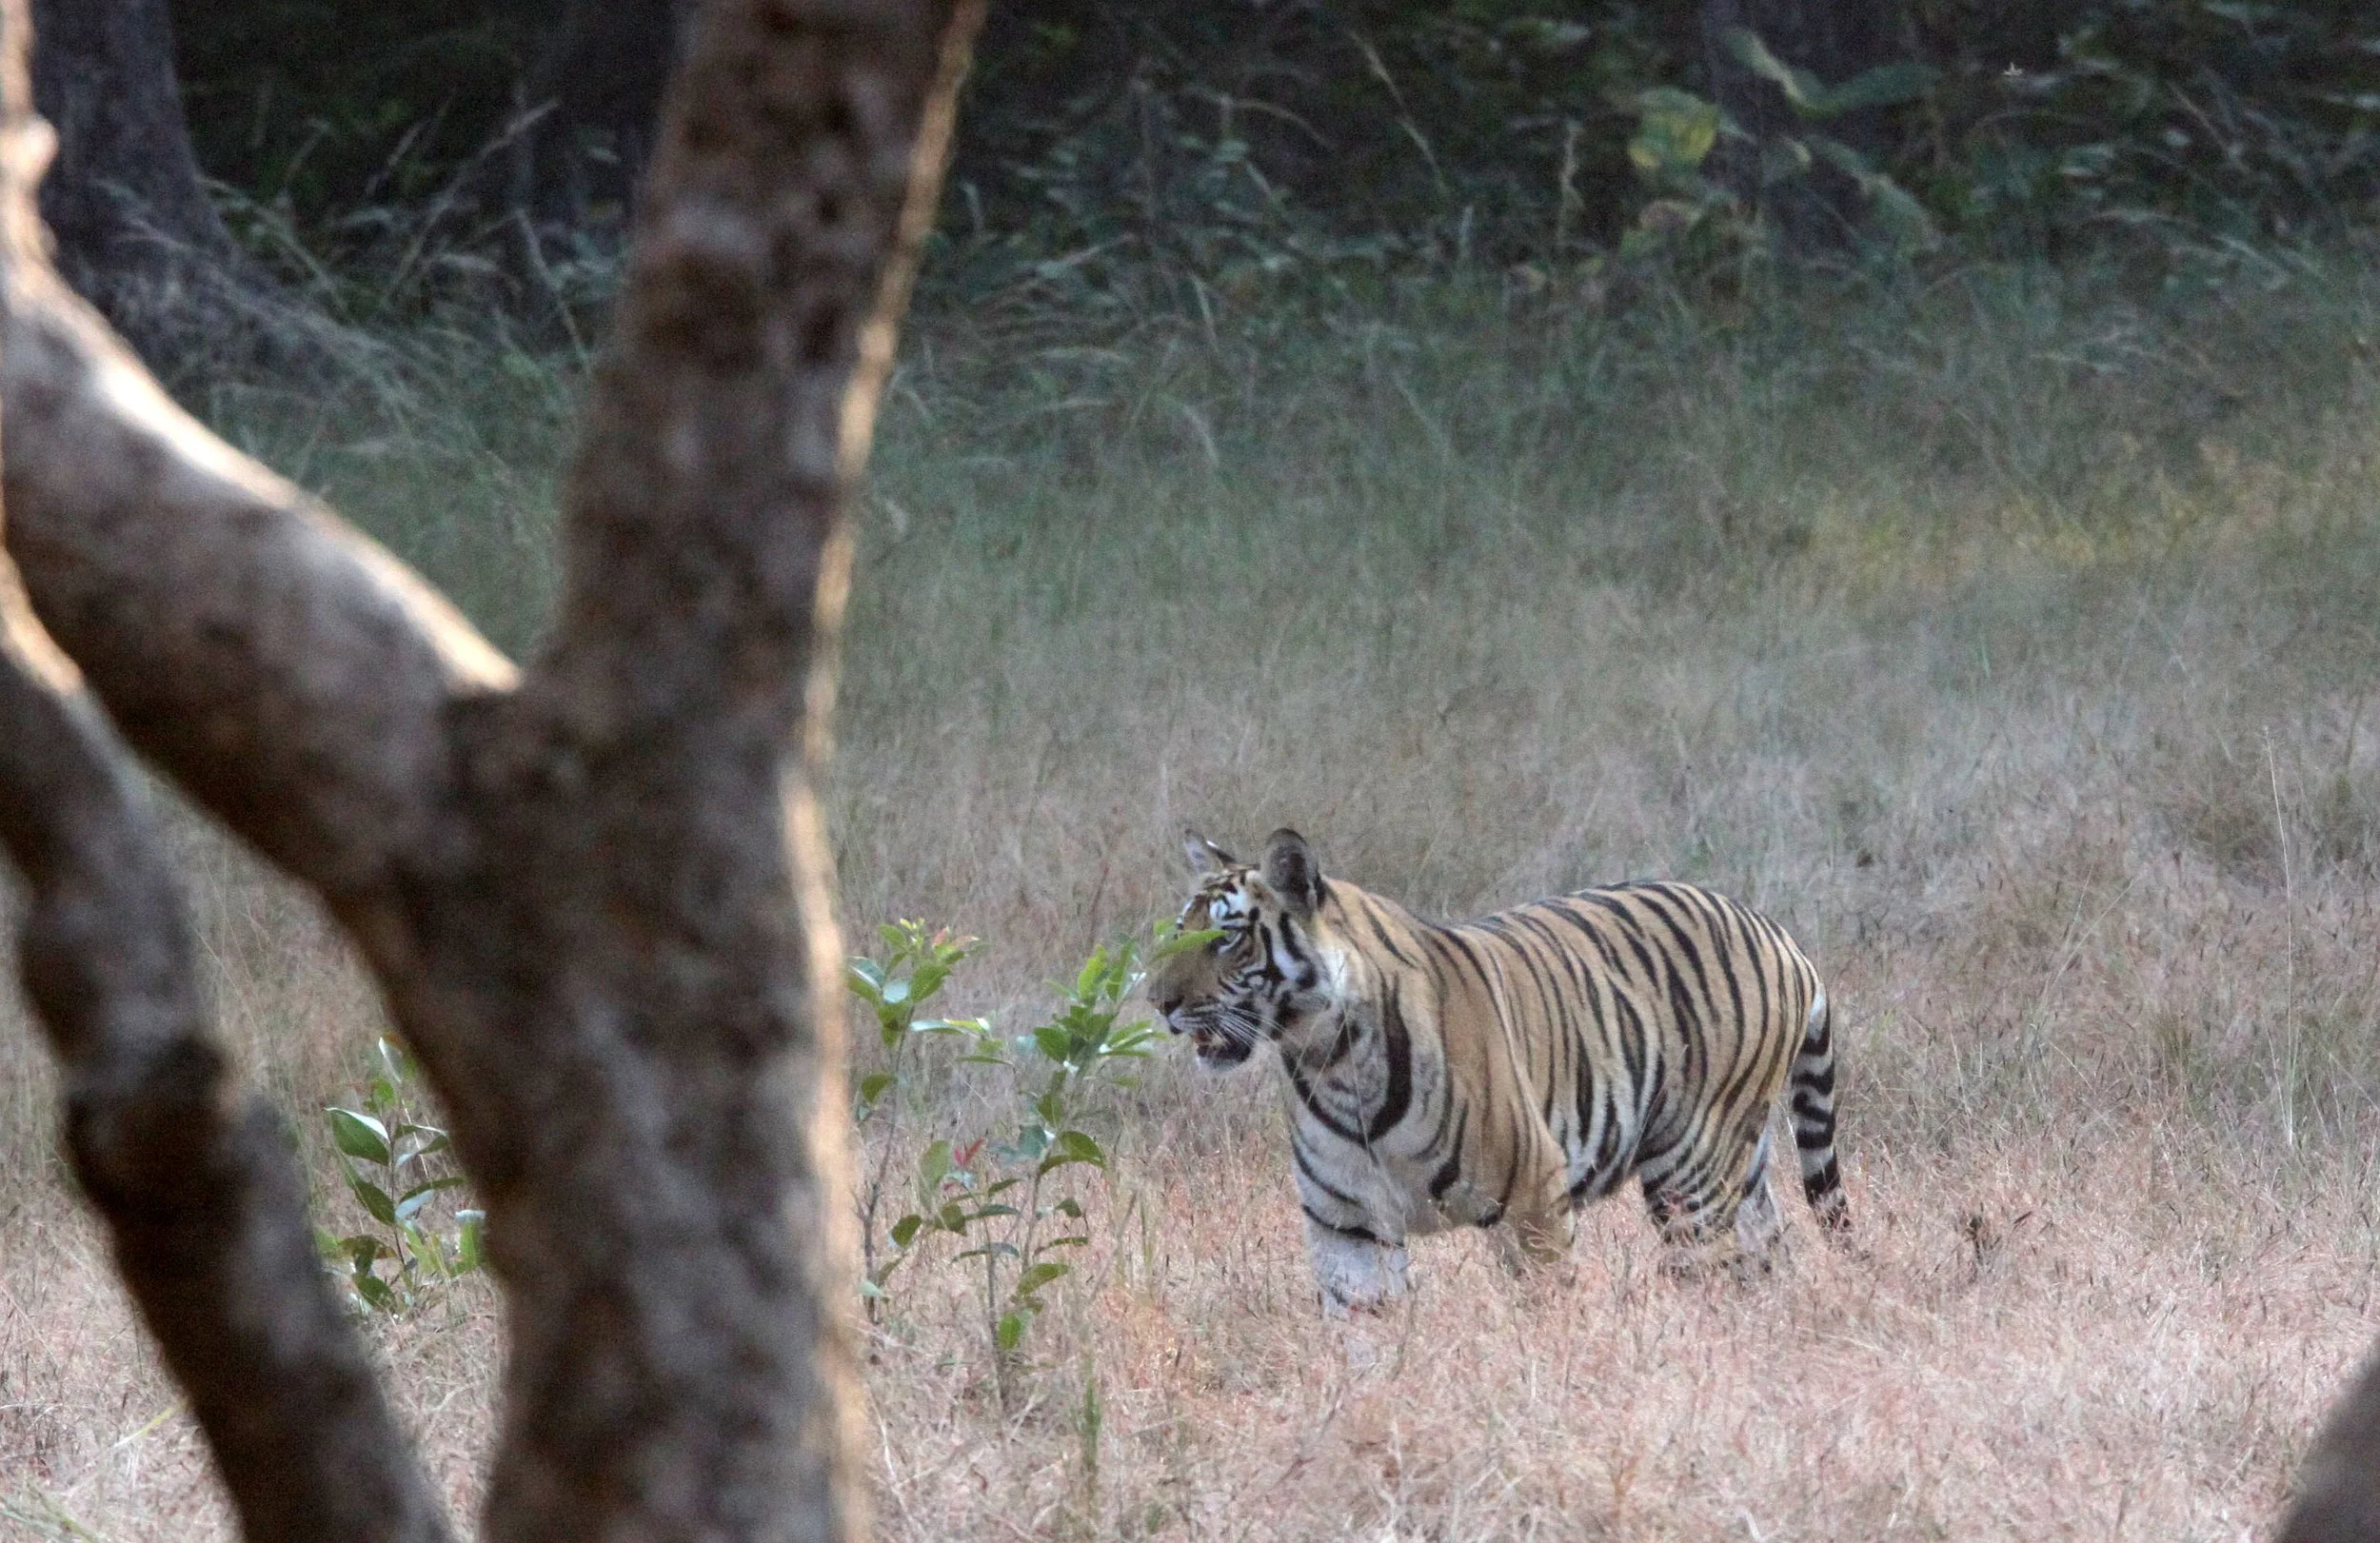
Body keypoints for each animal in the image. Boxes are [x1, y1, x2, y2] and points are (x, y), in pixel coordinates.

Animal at [1146, 827, 1849, 1315]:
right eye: (1177, 931)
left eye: (1226, 938)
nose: (1157, 1001)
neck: (1332, 1061)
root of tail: (1777, 932)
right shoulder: (1347, 1225)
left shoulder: (1532, 1201)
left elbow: (1548, 1315)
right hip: (1741, 1165)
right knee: (1767, 1257)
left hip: (1690, 1176)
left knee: (1716, 1274)